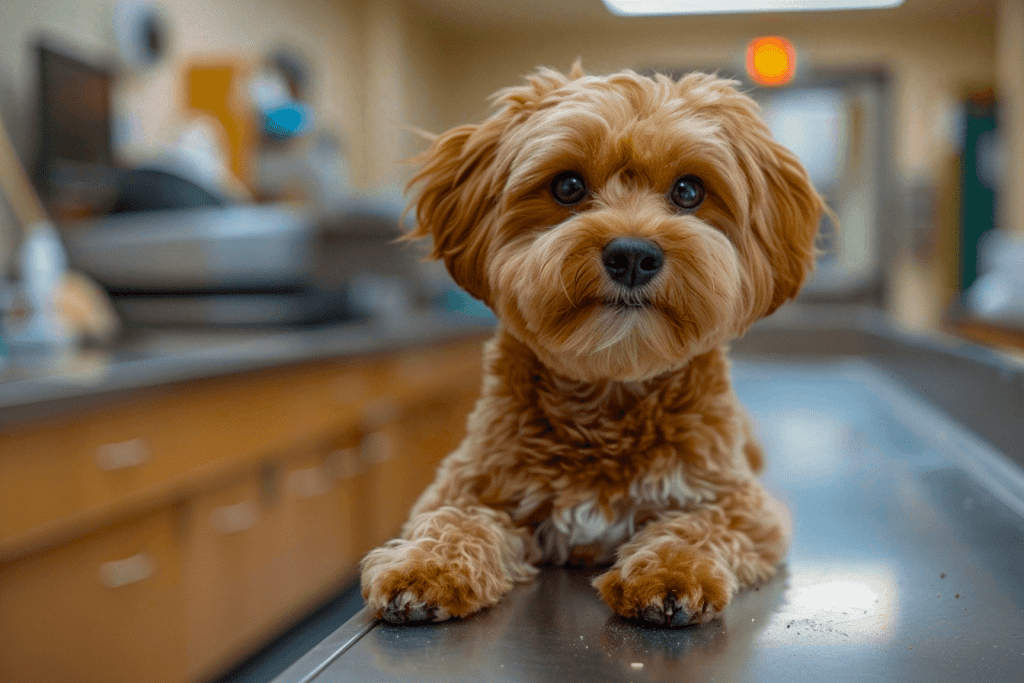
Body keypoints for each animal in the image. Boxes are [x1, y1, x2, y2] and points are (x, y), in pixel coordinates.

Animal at [360, 61, 823, 626]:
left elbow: (699, 527)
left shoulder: (743, 506)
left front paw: (672, 572)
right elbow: (453, 521)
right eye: (568, 186)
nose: (632, 255)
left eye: (689, 192)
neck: (610, 387)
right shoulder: (465, 486)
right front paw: (424, 566)